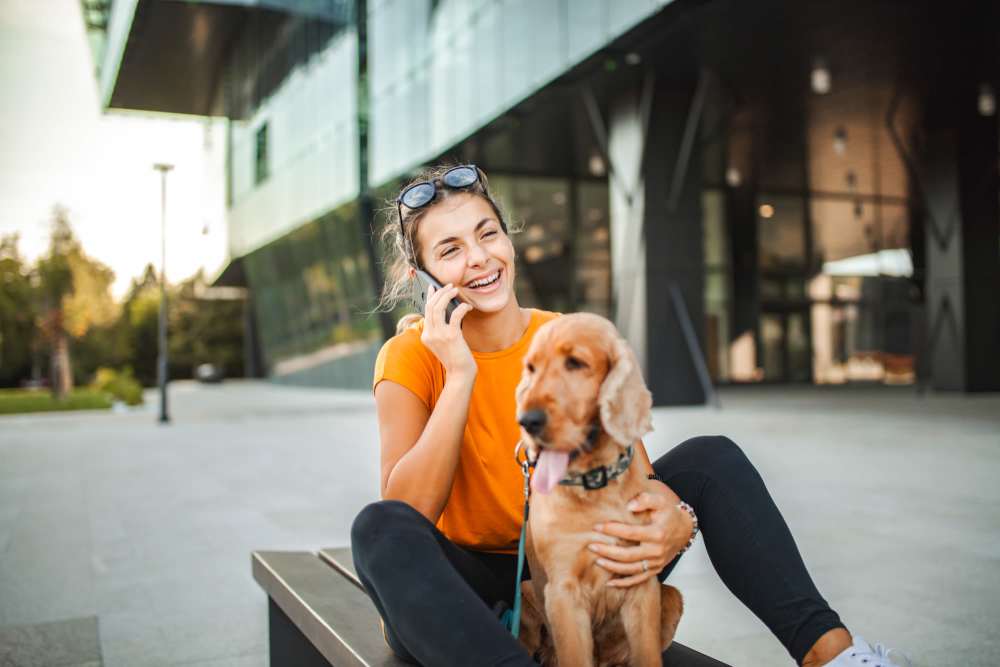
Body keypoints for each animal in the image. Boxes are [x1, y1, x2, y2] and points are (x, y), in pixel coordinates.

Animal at [512, 314, 684, 667]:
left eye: (575, 363)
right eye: (531, 368)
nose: (527, 421)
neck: (596, 487)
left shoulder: (641, 584)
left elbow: (648, 655)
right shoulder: (563, 592)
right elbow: (575, 655)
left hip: (671, 597)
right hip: (526, 592)